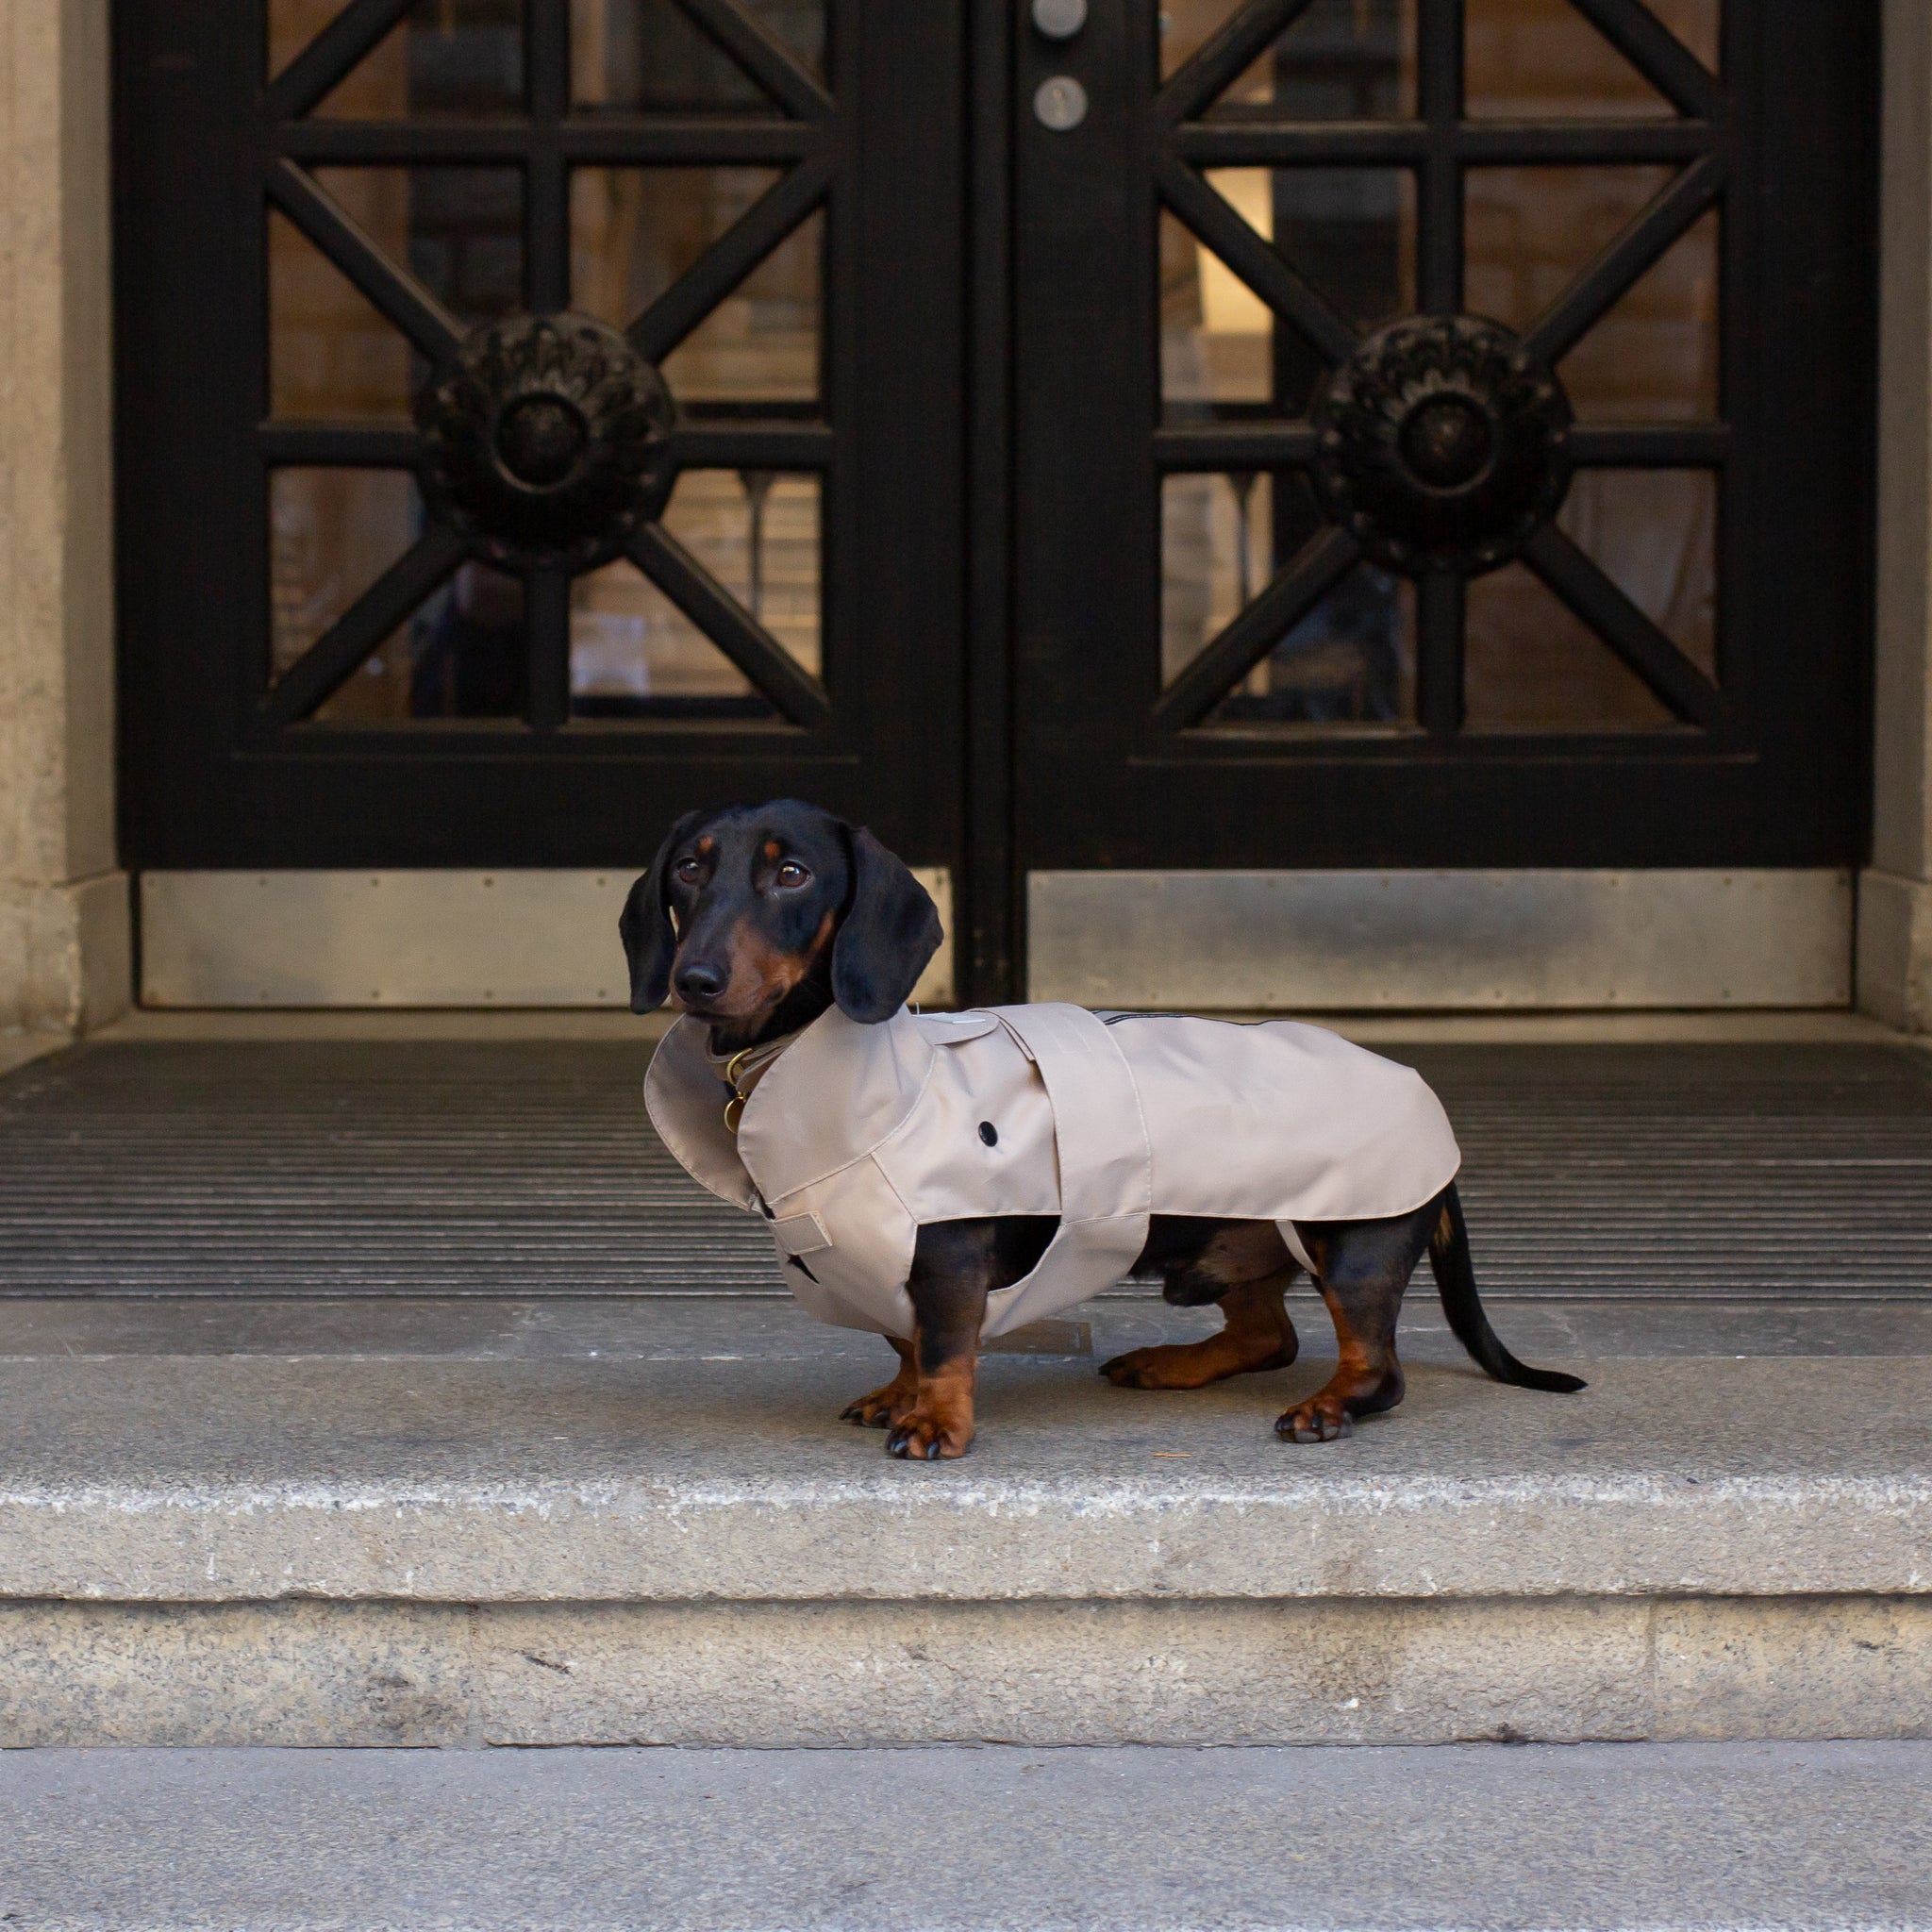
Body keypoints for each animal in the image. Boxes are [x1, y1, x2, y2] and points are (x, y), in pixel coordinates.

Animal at [622, 791, 1584, 1453]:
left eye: (792, 874)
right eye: (690, 870)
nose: (695, 979)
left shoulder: (949, 1249)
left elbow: (942, 1342)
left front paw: (935, 1421)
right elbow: (904, 1340)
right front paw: (898, 1394)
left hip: (1351, 1242)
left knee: (1376, 1370)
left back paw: (1325, 1408)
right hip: (1237, 1241)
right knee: (1268, 1336)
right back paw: (1172, 1362)